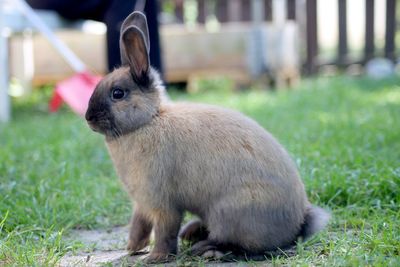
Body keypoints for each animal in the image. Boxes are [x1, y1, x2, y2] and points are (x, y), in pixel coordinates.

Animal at [85, 11, 332, 266]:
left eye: (118, 93)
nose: (88, 117)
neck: (149, 120)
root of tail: (298, 223)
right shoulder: (142, 204)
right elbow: (139, 226)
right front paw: (133, 248)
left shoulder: (162, 203)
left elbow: (164, 231)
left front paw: (156, 257)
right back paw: (192, 233)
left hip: (228, 213)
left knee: (243, 247)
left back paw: (206, 249)